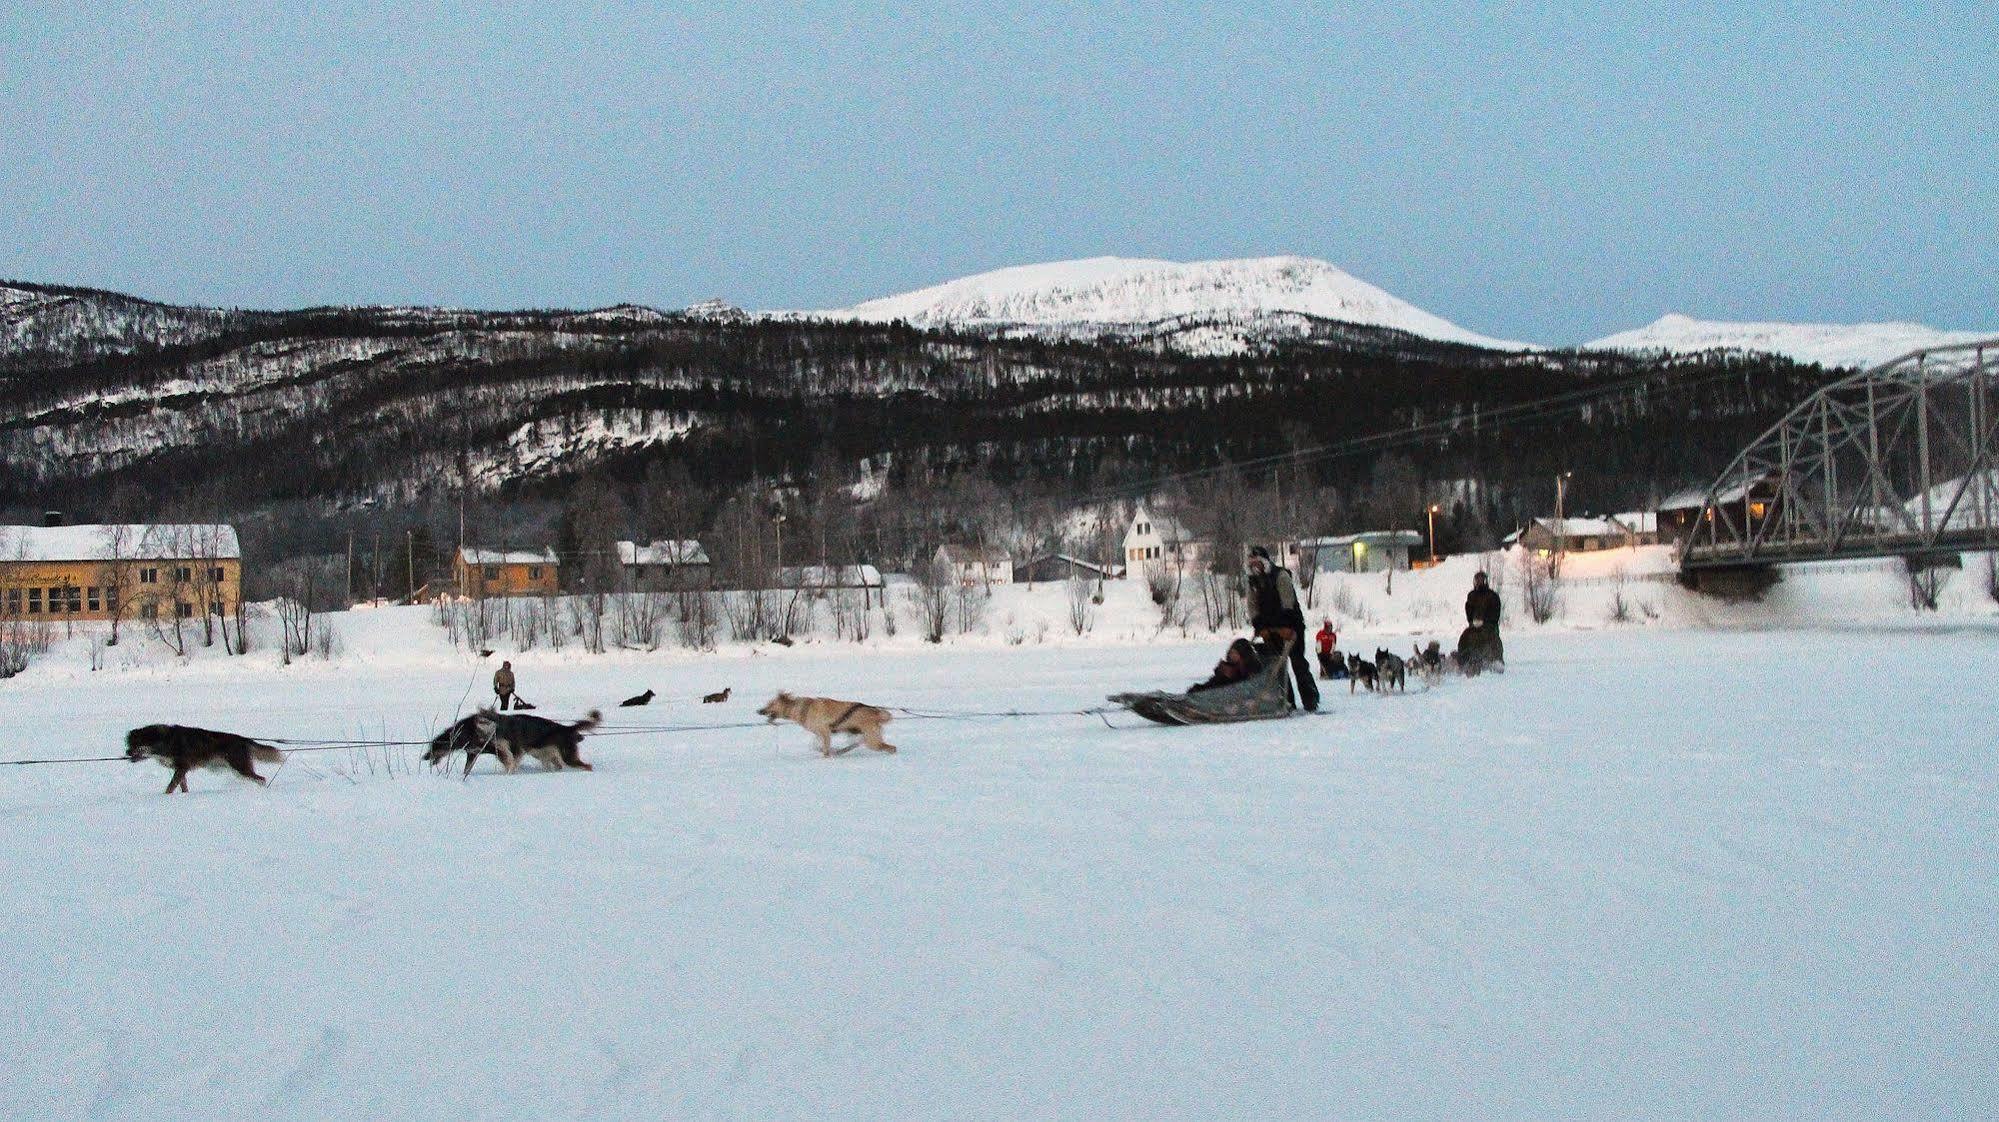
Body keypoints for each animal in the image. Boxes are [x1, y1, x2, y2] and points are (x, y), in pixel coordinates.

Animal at [125, 720, 285, 792]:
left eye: (136, 744)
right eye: (128, 743)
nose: (127, 752)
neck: (164, 741)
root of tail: (243, 739)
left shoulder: (182, 767)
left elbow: (170, 787)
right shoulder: (181, 770)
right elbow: (182, 786)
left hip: (240, 768)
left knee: (261, 779)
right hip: (238, 770)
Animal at [423, 704, 595, 776]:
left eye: (431, 749)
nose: (424, 757)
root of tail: (566, 728)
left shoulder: (501, 748)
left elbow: (509, 761)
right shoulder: (473, 753)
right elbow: (467, 768)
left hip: (564, 756)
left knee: (587, 766)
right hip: (545, 754)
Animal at [755, 692, 899, 752]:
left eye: (771, 704)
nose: (758, 710)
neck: (802, 709)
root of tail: (877, 713)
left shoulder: (825, 732)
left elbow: (825, 749)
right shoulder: (820, 733)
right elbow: (815, 745)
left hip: (871, 741)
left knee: (891, 747)